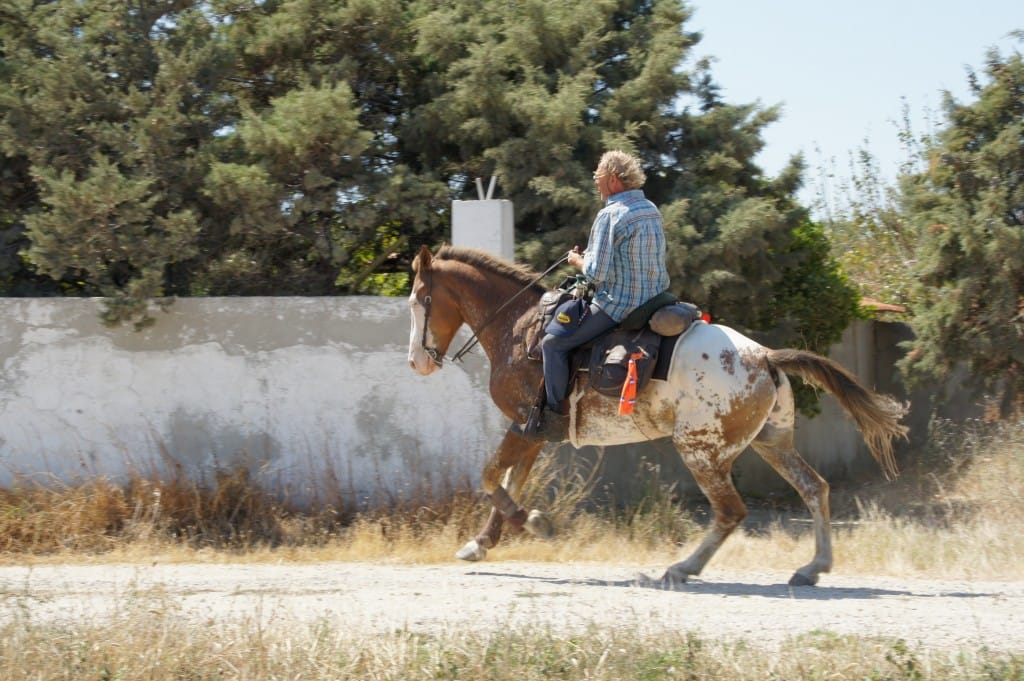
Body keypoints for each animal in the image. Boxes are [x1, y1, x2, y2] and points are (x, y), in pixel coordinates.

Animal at [403, 244, 909, 585]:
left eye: (418, 300)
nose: (416, 362)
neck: (519, 329)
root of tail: (766, 356)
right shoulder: (535, 431)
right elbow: (508, 482)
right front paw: (482, 542)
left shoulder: (523, 426)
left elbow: (491, 478)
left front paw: (532, 521)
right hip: (772, 443)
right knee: (814, 488)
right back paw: (813, 566)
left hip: (701, 450)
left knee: (731, 511)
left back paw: (682, 568)